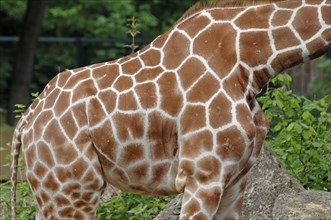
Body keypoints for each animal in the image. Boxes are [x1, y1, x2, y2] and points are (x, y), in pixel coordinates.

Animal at [9, 0, 330, 218]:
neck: (250, 63)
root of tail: (24, 123)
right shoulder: (203, 174)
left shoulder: (237, 179)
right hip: (72, 189)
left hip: (52, 190)